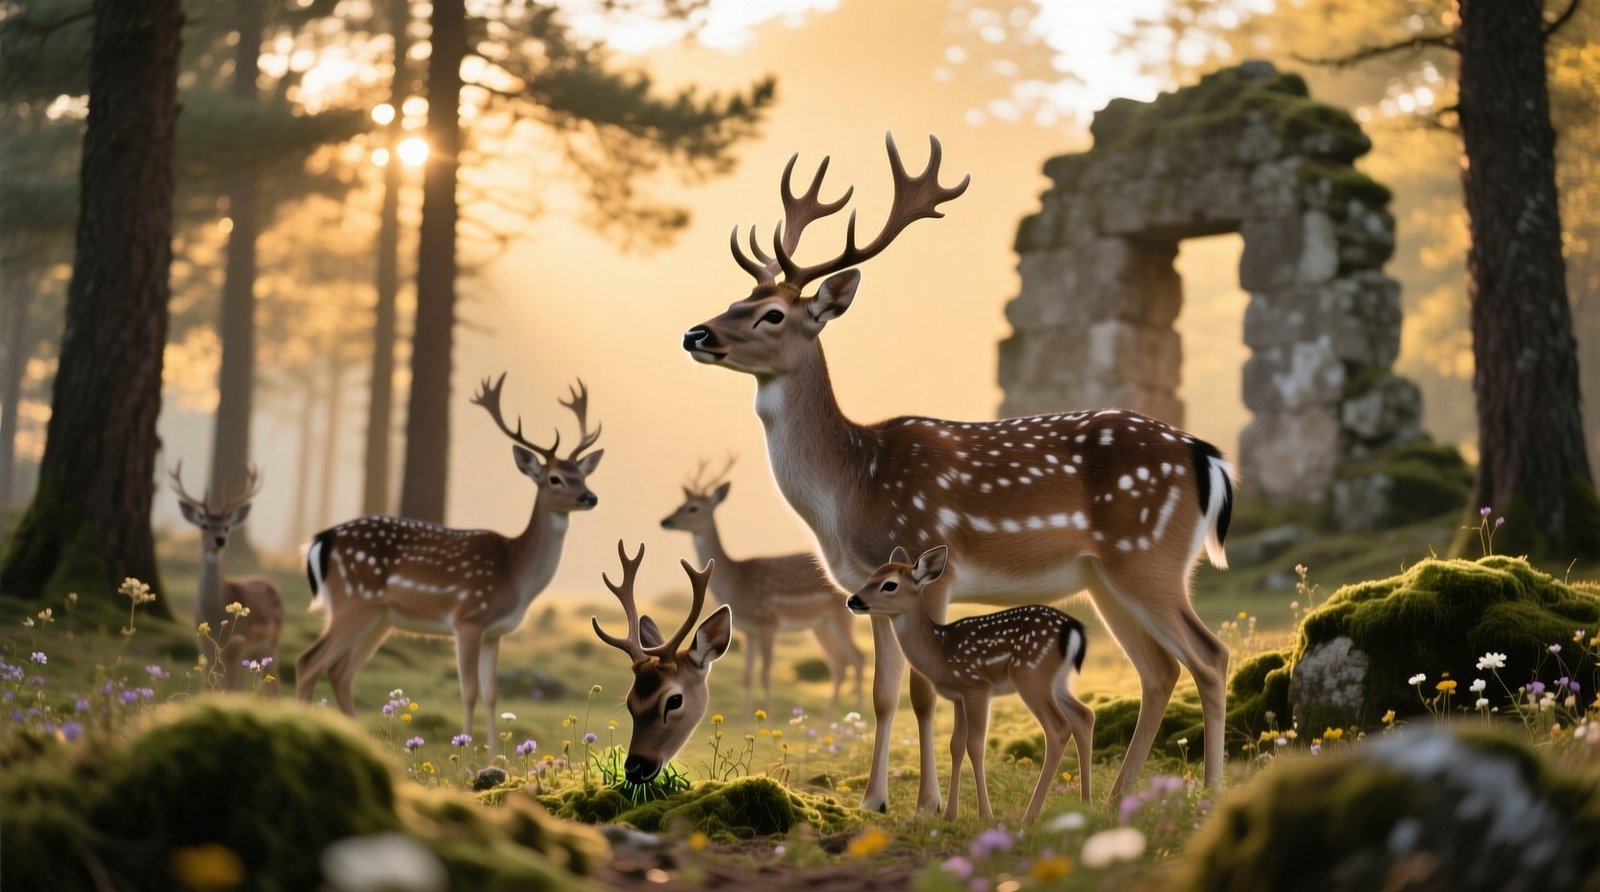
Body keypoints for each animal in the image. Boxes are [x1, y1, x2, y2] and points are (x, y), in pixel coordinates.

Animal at [169, 463, 284, 691]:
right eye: (204, 525)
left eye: (227, 526)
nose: (220, 539)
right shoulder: (203, 644)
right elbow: (210, 685)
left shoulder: (237, 646)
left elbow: (229, 689)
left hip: (272, 642)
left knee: (275, 684)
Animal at [295, 374, 603, 755]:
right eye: (555, 478)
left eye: (583, 475)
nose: (590, 497)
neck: (514, 573)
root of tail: (321, 540)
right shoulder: (468, 618)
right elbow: (469, 691)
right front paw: (467, 749)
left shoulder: (495, 632)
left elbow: (492, 693)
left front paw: (495, 755)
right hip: (353, 602)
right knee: (308, 662)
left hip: (380, 617)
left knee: (340, 672)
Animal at [660, 456, 864, 709]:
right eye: (680, 504)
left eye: (693, 508)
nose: (665, 521)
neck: (736, 583)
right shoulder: (748, 630)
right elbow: (747, 676)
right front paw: (745, 715)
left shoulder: (768, 621)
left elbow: (765, 674)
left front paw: (768, 714)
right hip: (820, 624)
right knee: (839, 663)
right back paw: (831, 713)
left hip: (839, 616)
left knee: (857, 657)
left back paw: (856, 710)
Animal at [846, 545, 1093, 823]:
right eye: (870, 577)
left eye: (889, 584)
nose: (853, 600)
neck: (938, 651)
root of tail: (1075, 630)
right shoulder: (957, 695)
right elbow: (956, 745)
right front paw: (950, 814)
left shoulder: (977, 687)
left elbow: (975, 746)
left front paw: (985, 815)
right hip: (1057, 681)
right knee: (1084, 715)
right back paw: (1087, 804)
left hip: (1031, 676)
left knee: (1058, 728)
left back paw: (1029, 816)